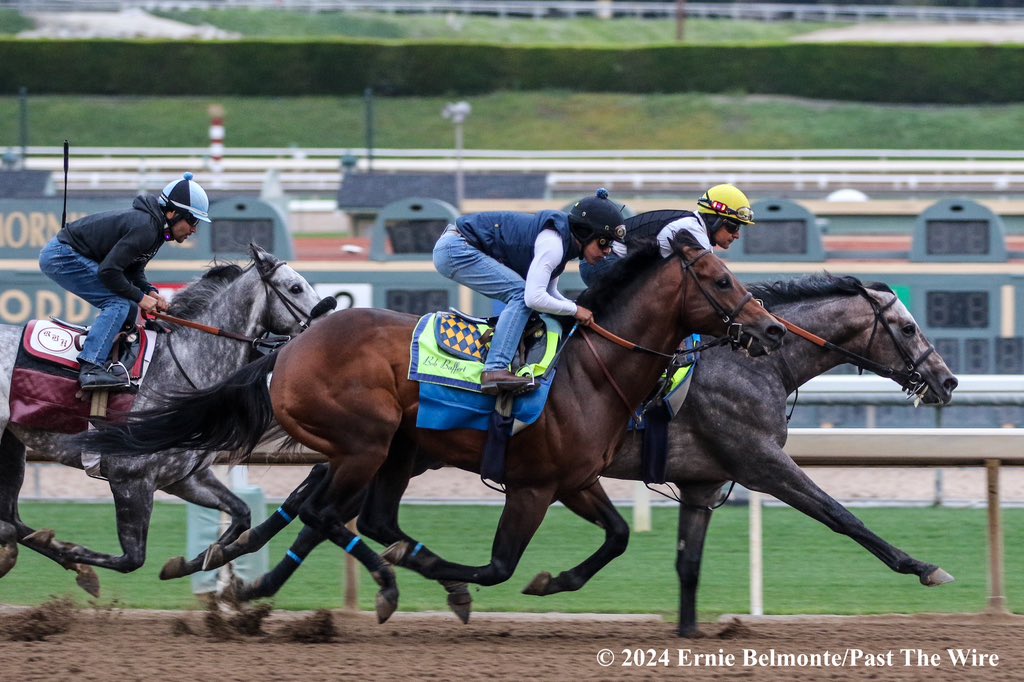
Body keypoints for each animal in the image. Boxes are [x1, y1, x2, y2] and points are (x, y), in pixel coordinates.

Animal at [0, 241, 331, 593]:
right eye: (295, 288)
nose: (328, 323)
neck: (185, 367)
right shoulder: (129, 476)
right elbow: (131, 559)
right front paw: (71, 554)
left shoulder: (184, 477)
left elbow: (241, 514)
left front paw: (192, 564)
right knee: (11, 522)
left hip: (11, 445)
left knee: (12, 517)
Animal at [79, 235, 782, 622]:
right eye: (722, 280)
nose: (771, 330)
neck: (590, 370)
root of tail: (287, 349)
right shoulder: (533, 486)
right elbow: (498, 566)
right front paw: (468, 583)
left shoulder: (578, 480)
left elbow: (616, 537)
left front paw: (555, 581)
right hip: (365, 442)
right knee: (329, 516)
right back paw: (383, 580)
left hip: (390, 451)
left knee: (352, 516)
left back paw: (241, 572)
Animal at [186, 272, 958, 638]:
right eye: (908, 325)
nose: (948, 380)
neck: (755, 361)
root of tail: (293, 347)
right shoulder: (758, 460)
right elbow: (841, 515)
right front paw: (923, 566)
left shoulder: (703, 481)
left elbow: (686, 560)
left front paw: (689, 631)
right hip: (376, 446)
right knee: (318, 509)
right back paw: (252, 579)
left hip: (392, 451)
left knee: (316, 508)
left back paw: (239, 578)